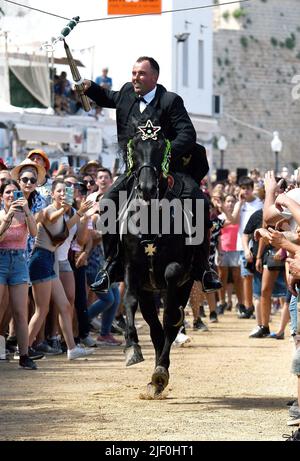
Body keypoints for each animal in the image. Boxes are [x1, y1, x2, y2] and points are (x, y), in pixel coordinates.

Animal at [119, 120, 197, 398]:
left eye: (161, 147)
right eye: (135, 147)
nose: (147, 188)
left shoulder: (177, 271)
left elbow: (171, 317)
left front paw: (161, 370)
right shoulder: (132, 268)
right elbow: (129, 301)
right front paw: (132, 347)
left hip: (185, 284)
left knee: (168, 324)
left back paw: (160, 372)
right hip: (148, 289)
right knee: (154, 328)